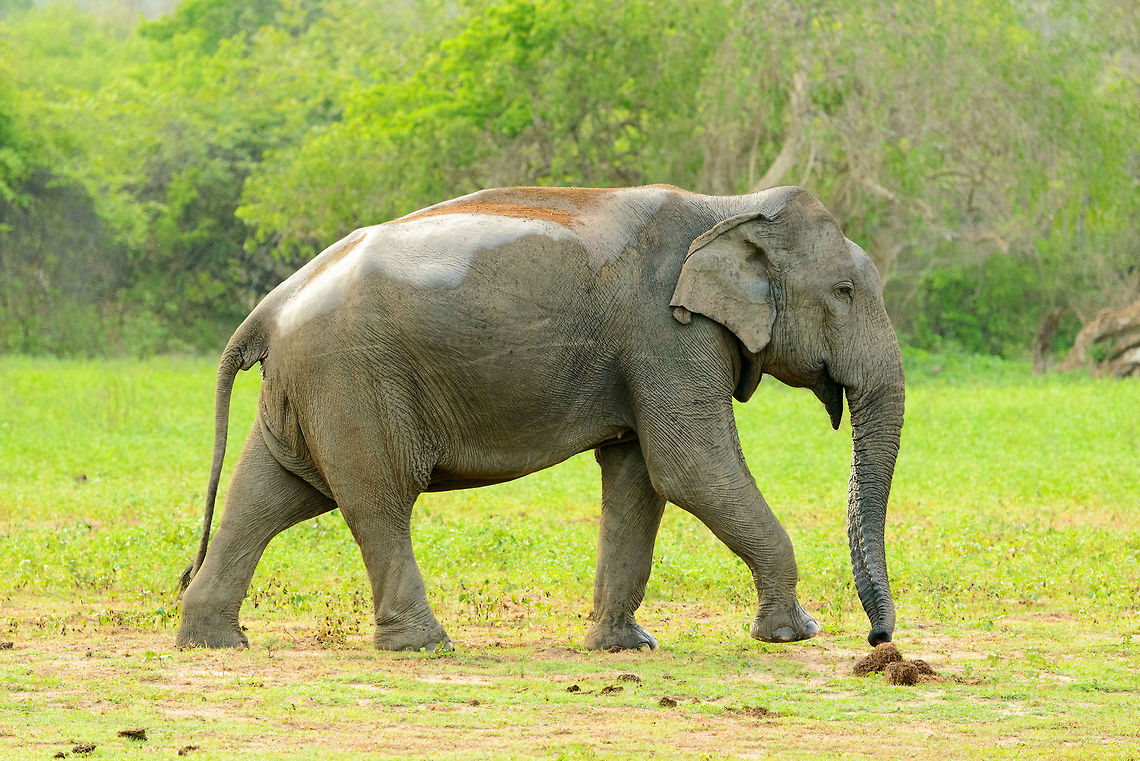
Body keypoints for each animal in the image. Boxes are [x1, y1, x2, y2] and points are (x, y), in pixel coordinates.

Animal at [176, 183, 904, 652]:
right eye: (844, 290)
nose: (880, 639)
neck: (729, 208)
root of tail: (274, 303)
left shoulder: (649, 351)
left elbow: (639, 477)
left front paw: (625, 646)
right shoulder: (668, 334)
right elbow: (689, 467)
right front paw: (793, 634)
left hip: (310, 388)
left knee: (269, 493)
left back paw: (214, 641)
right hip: (351, 379)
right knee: (376, 500)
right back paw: (424, 646)